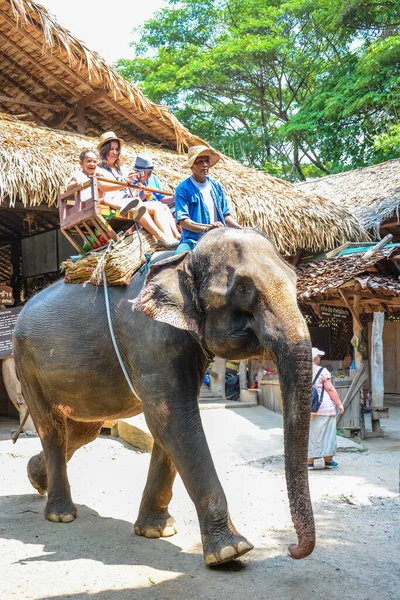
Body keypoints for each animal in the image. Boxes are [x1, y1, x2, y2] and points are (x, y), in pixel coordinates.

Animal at [13, 227, 316, 564]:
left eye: (294, 279)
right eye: (242, 289)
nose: (291, 549)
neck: (185, 259)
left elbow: (167, 426)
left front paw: (157, 531)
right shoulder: (151, 337)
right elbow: (172, 419)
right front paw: (230, 551)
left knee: (81, 432)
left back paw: (35, 478)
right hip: (26, 364)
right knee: (52, 428)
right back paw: (61, 514)